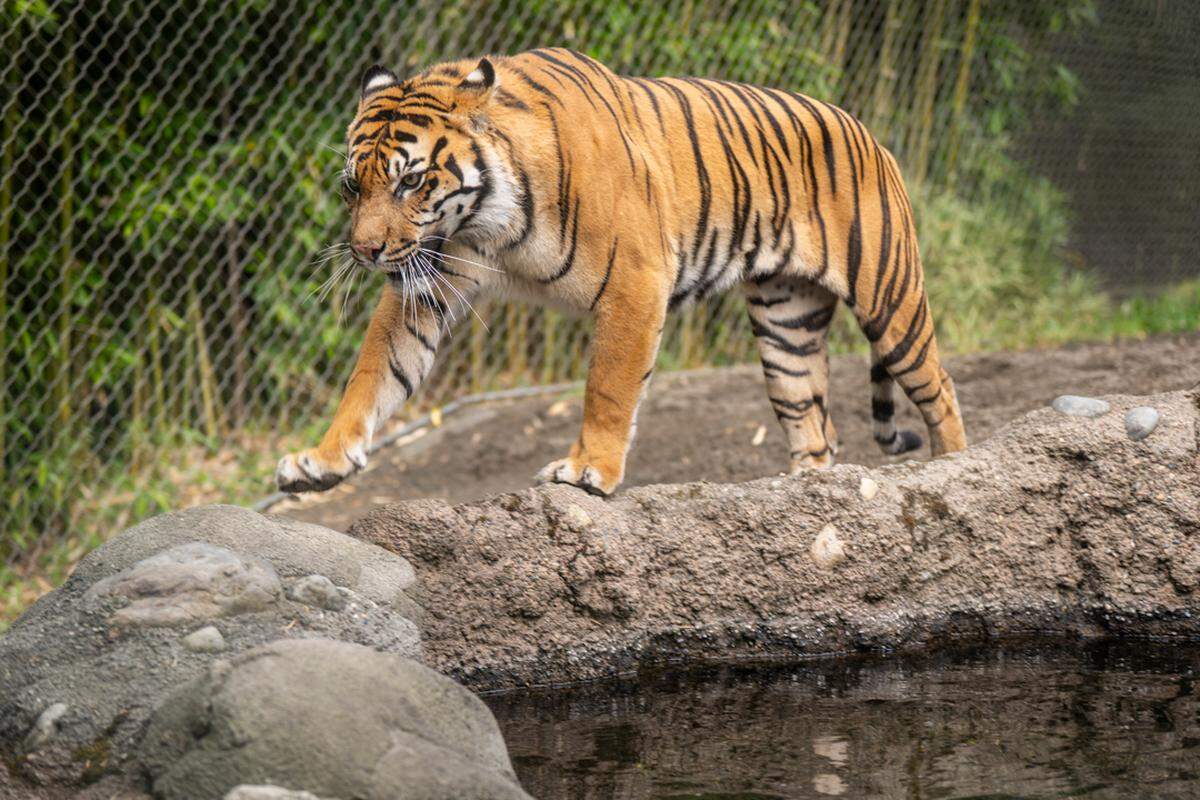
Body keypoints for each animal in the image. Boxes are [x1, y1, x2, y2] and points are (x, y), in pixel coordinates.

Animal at [275, 48, 967, 497]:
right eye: (352, 187)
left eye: (411, 182)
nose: (365, 251)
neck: (488, 225)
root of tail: (867, 130)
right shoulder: (428, 280)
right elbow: (374, 373)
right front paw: (321, 461)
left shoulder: (635, 282)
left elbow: (607, 387)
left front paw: (588, 471)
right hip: (786, 326)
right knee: (814, 427)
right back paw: (799, 492)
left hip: (890, 298)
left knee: (939, 388)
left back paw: (954, 471)